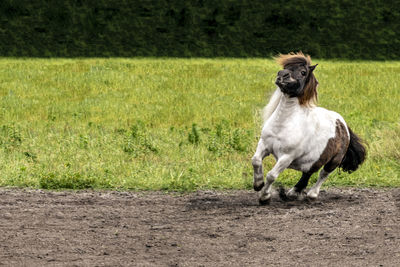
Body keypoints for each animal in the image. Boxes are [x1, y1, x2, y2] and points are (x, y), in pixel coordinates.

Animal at [253, 52, 366, 205]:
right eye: (286, 66)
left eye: (303, 72)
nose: (281, 75)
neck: (283, 125)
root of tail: (342, 124)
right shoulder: (264, 144)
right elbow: (256, 161)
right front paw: (258, 184)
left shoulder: (287, 157)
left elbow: (271, 175)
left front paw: (265, 197)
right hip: (314, 159)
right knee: (308, 173)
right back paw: (293, 192)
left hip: (333, 161)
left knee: (322, 174)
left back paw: (312, 194)